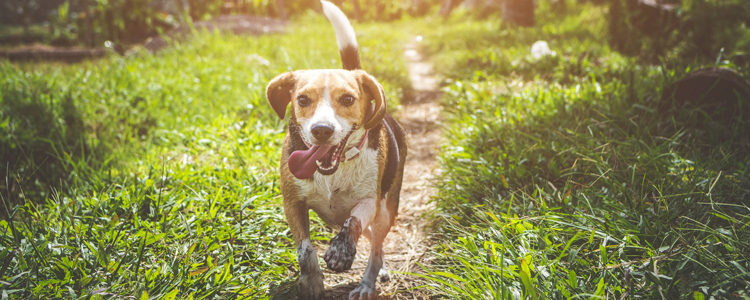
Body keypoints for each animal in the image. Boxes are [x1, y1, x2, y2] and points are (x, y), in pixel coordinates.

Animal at [264, 1, 406, 298]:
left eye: (348, 99)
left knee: (375, 246)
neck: (334, 171)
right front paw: (312, 282)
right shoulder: (292, 203)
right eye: (302, 99)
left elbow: (354, 221)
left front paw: (341, 252)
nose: (322, 130)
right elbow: (305, 249)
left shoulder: (369, 201)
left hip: (385, 212)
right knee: (374, 243)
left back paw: (367, 283)